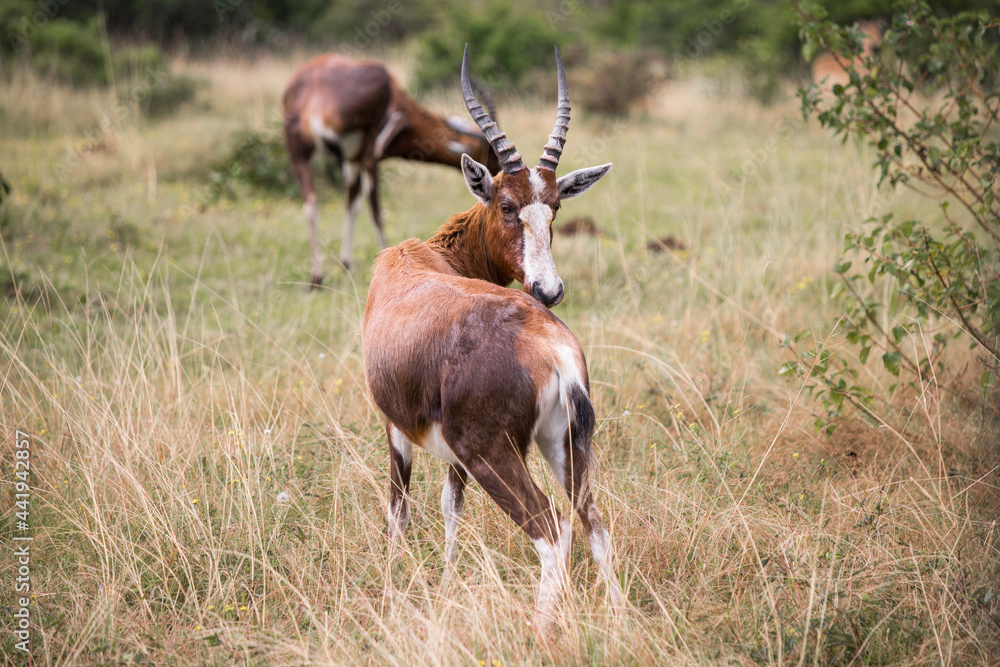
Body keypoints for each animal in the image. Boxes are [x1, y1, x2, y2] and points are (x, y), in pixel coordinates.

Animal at [283, 54, 502, 285]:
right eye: (490, 155)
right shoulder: (365, 159)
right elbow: (369, 207)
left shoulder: (351, 160)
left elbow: (351, 203)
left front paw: (345, 262)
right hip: (367, 156)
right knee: (374, 208)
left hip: (299, 155)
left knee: (311, 203)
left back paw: (316, 278)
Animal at [362, 46, 624, 629]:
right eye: (508, 205)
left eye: (554, 209)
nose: (548, 288)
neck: (419, 261)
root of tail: (552, 348)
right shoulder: (453, 454)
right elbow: (450, 505)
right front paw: (446, 583)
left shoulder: (399, 429)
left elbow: (400, 507)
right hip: (565, 444)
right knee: (592, 522)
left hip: (496, 455)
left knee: (551, 529)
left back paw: (540, 630)